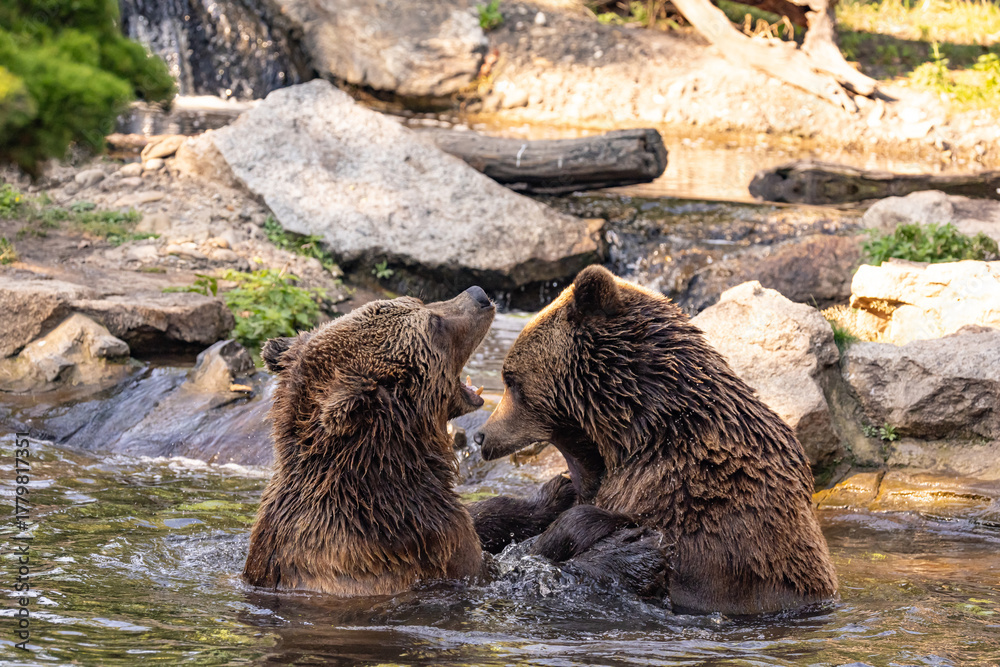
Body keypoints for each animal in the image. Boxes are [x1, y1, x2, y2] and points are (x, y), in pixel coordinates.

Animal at [243, 286, 575, 596]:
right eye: (434, 324)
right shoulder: (423, 540)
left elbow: (481, 515)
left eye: (418, 302)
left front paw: (557, 492)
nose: (479, 295)